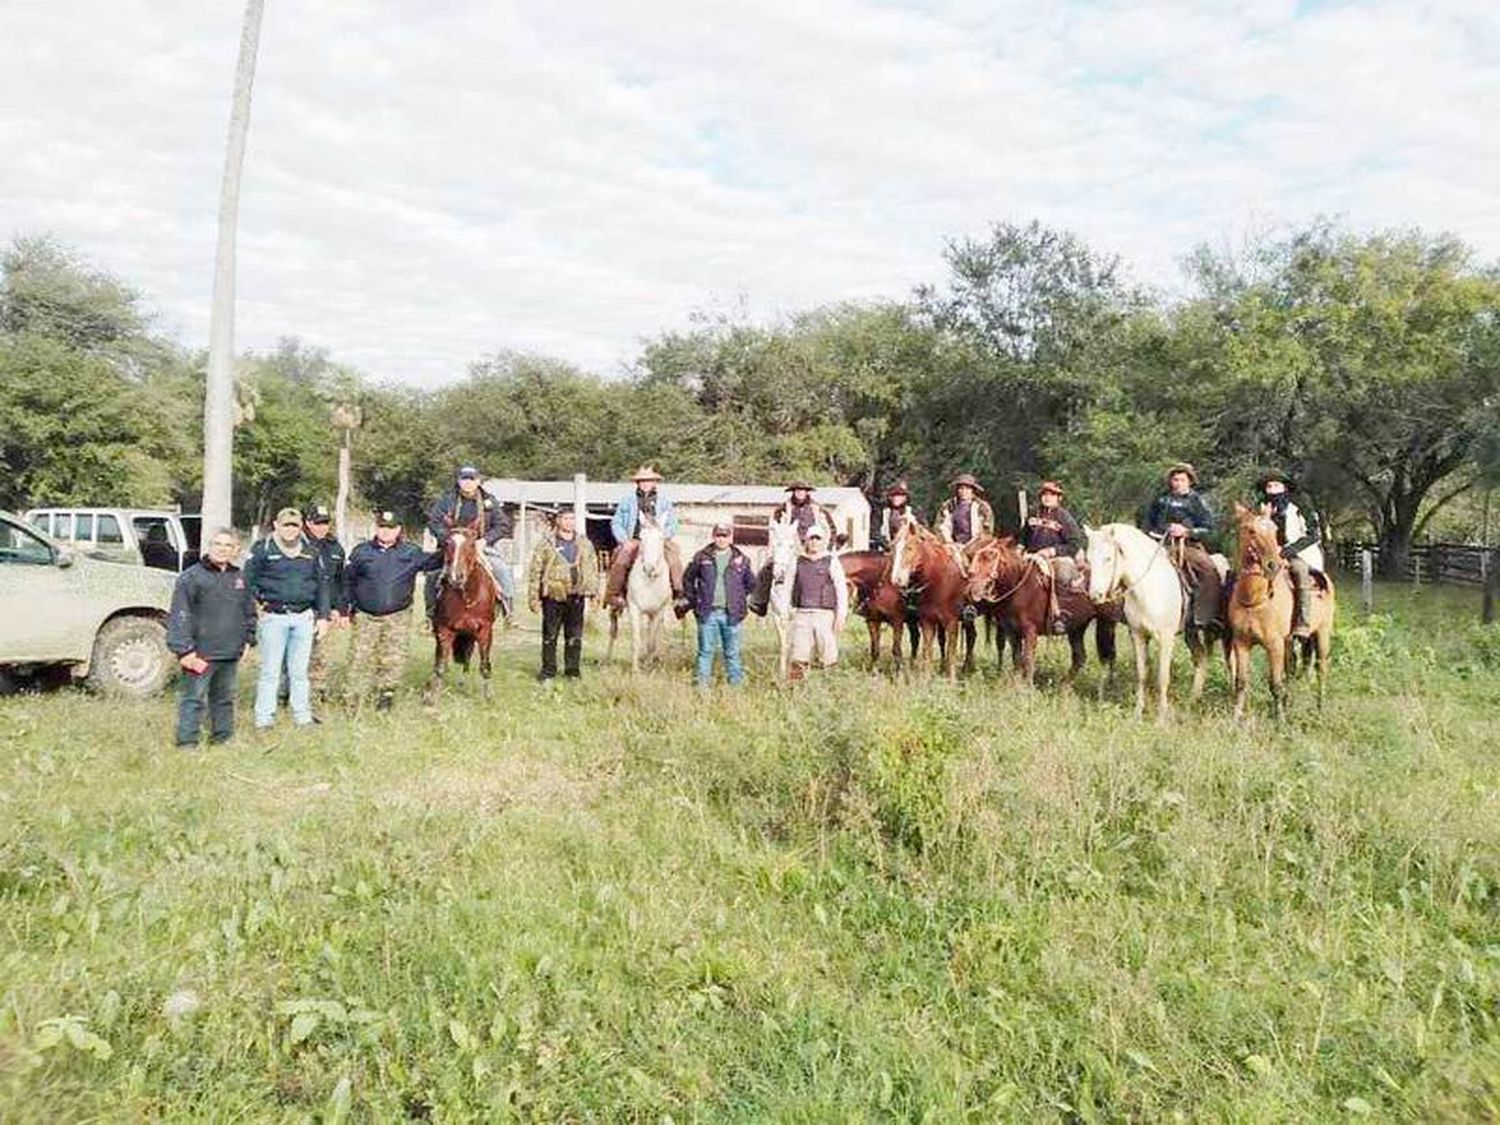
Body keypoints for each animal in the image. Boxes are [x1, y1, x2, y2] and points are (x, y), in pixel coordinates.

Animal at [429, 522, 498, 702]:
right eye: (447, 543)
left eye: (472, 544)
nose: (456, 577)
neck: (467, 596)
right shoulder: (444, 629)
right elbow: (440, 665)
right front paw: (433, 696)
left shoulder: (484, 630)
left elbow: (484, 665)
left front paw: (488, 696)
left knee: (467, 658)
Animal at [606, 519, 672, 675]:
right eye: (642, 538)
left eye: (661, 538)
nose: (649, 567)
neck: (650, 581)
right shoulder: (635, 609)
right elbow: (636, 640)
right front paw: (635, 670)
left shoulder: (657, 612)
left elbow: (651, 643)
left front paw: (648, 668)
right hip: (615, 606)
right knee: (613, 629)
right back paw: (607, 659)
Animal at [888, 528, 972, 684]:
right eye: (893, 548)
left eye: (910, 547)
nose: (897, 580)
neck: (938, 579)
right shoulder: (928, 622)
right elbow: (928, 650)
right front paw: (926, 679)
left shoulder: (952, 622)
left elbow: (951, 651)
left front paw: (951, 680)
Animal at [960, 534, 1116, 687]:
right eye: (972, 556)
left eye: (991, 556)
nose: (972, 591)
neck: (1018, 587)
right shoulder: (1013, 633)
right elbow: (1017, 659)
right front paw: (1016, 684)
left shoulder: (1030, 631)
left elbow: (1028, 659)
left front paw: (1027, 687)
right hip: (1077, 627)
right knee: (1080, 657)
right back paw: (1064, 685)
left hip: (1107, 622)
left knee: (1110, 654)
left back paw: (1109, 683)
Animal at [1230, 504, 1338, 723]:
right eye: (1251, 531)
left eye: (1274, 530)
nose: (1273, 564)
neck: (1254, 600)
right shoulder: (1241, 643)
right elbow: (1241, 682)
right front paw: (1236, 718)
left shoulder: (1274, 645)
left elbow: (1275, 684)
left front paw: (1280, 721)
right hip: (1290, 643)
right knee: (1291, 671)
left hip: (1321, 635)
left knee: (1320, 670)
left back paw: (1319, 709)